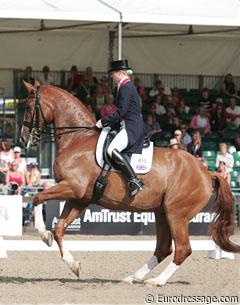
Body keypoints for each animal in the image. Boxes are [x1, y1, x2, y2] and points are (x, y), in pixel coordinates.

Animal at [20, 81, 240, 284]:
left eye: (30, 107)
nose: (23, 140)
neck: (77, 138)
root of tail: (207, 172)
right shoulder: (80, 198)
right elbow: (58, 229)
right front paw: (73, 265)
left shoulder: (73, 187)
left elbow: (38, 197)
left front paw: (43, 234)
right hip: (162, 212)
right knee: (163, 248)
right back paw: (133, 277)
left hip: (176, 214)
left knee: (182, 249)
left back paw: (157, 281)